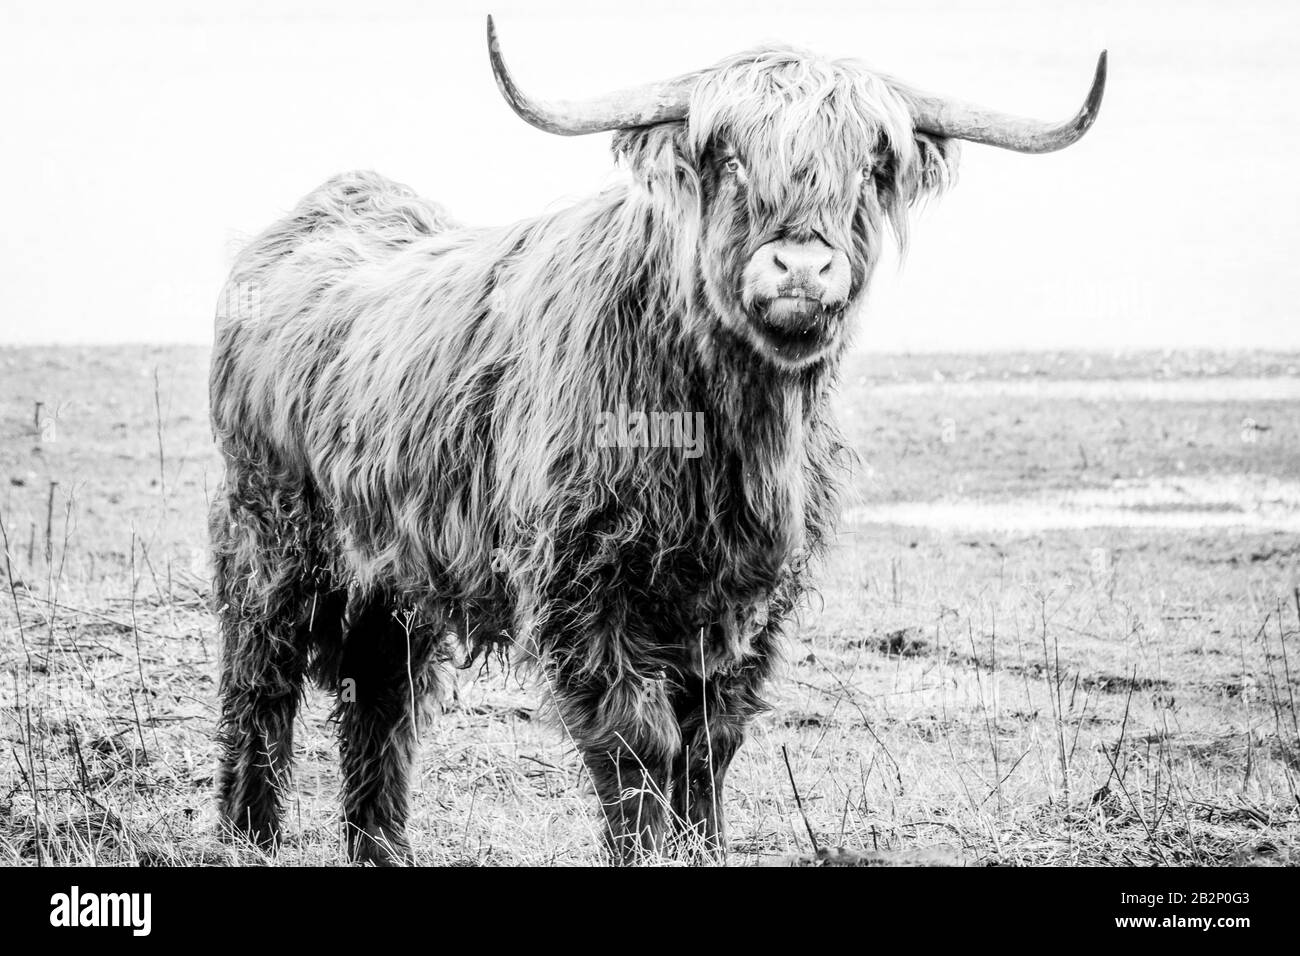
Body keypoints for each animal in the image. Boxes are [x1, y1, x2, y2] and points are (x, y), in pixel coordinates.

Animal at [210, 18, 1107, 863]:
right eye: (731, 158)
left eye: (867, 168)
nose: (801, 269)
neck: (728, 435)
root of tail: (317, 216)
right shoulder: (584, 587)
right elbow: (638, 741)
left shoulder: (749, 604)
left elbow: (712, 741)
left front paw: (703, 846)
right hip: (269, 539)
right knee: (261, 681)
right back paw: (248, 834)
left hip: (396, 576)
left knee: (382, 700)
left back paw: (383, 848)